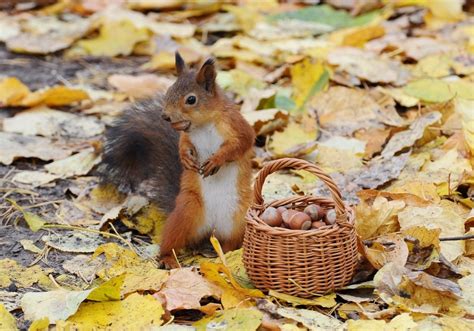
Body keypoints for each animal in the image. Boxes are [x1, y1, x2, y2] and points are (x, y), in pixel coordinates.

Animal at [100, 53, 256, 268]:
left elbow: (241, 143)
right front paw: (185, 158)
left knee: (231, 242)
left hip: (239, 220)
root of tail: (211, 230)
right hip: (185, 212)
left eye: (191, 99)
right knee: (172, 241)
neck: (203, 124)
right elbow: (182, 143)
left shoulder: (237, 125)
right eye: (169, 90)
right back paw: (169, 258)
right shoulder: (187, 136)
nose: (165, 116)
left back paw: (225, 255)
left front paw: (216, 160)